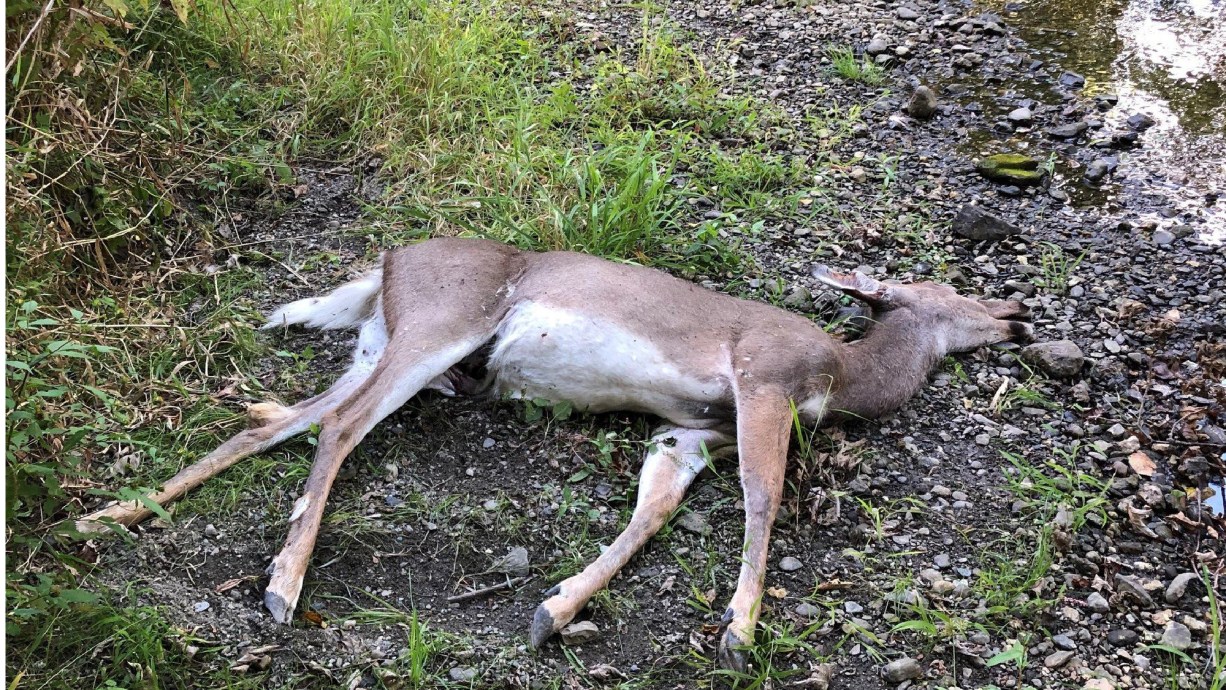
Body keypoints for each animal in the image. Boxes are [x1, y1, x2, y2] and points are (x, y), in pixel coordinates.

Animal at [75, 236, 1032, 672]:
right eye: (951, 290)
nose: (1019, 316)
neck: (845, 371)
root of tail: (385, 264)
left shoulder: (695, 427)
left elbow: (653, 505)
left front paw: (554, 608)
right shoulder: (763, 379)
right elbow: (764, 500)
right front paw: (739, 630)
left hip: (381, 344)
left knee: (278, 417)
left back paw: (108, 514)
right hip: (441, 325)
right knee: (339, 428)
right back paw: (280, 587)